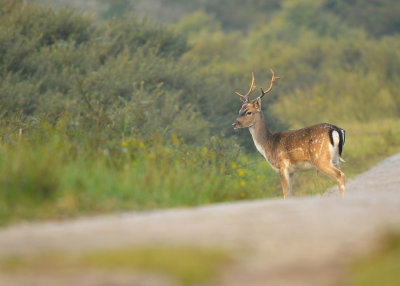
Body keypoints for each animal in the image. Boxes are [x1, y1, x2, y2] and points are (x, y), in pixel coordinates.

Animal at [233, 70, 346, 198]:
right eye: (239, 110)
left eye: (249, 112)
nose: (234, 124)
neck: (268, 145)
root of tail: (336, 130)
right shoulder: (292, 171)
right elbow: (290, 193)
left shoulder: (282, 166)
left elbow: (286, 194)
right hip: (335, 159)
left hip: (321, 159)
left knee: (340, 176)